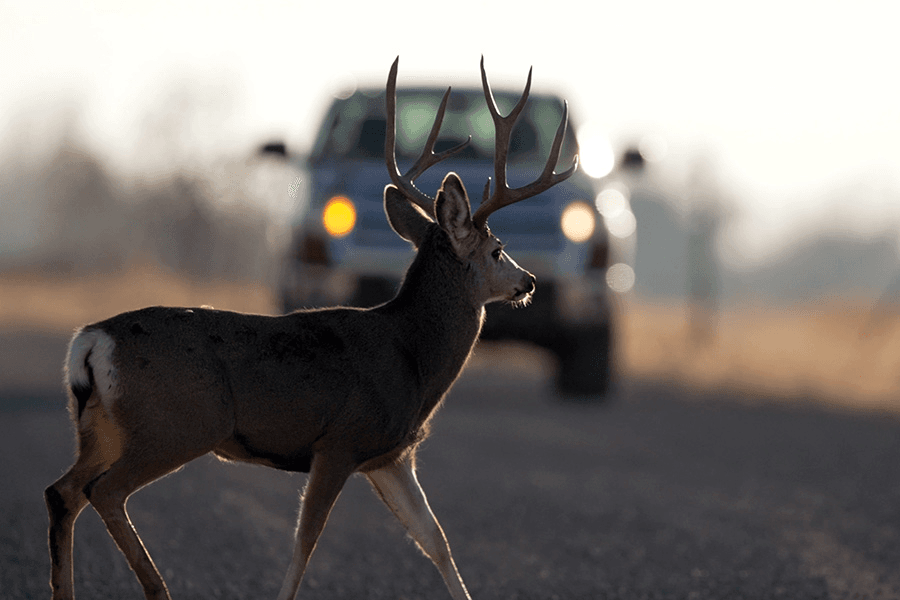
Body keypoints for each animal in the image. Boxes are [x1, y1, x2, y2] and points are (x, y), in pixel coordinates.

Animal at [44, 56, 577, 600]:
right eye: (497, 250)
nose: (529, 281)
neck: (412, 356)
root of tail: (92, 340)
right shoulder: (340, 441)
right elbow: (306, 540)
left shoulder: (391, 455)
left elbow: (435, 539)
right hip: (175, 424)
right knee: (104, 491)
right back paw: (158, 588)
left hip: (104, 427)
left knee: (63, 491)